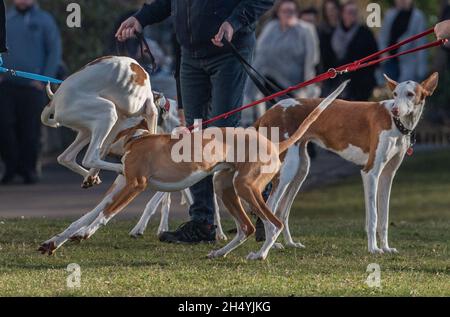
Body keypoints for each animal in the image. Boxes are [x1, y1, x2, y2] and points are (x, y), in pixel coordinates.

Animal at [40, 55, 160, 188]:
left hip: (90, 129)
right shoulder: (151, 112)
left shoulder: (119, 122)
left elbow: (104, 149)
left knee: (65, 157)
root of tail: (54, 100)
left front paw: (91, 176)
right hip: (108, 112)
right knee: (89, 158)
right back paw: (119, 167)